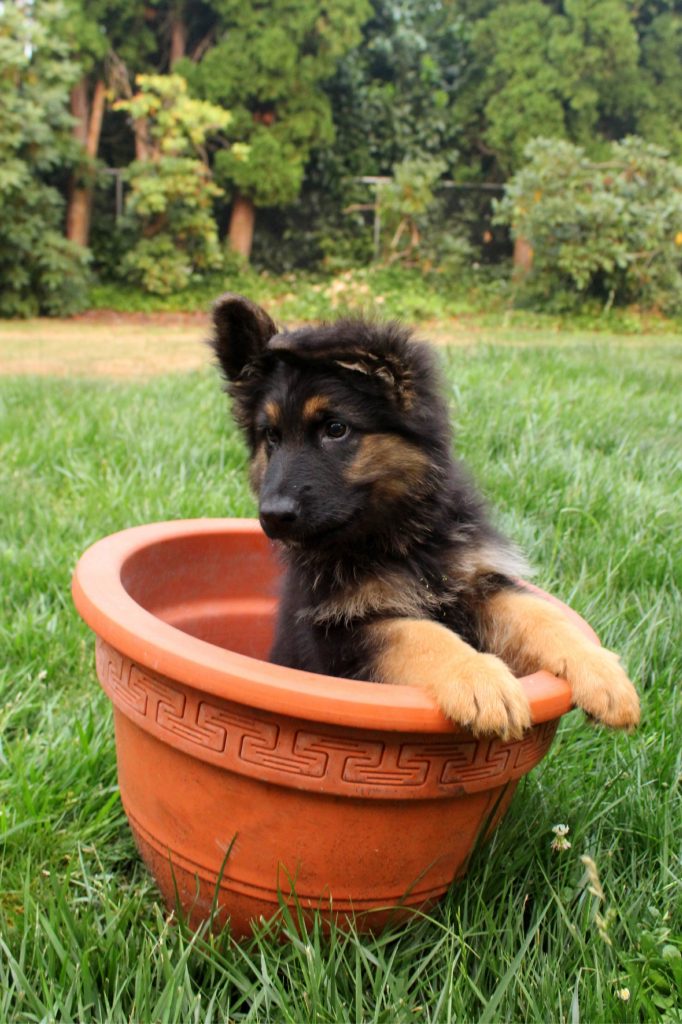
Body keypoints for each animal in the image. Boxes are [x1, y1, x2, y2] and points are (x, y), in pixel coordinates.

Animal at [212, 292, 638, 741]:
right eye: (271, 437)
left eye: (335, 429)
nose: (273, 516)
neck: (402, 540)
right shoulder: (342, 629)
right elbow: (419, 633)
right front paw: (481, 679)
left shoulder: (478, 584)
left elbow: (539, 615)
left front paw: (600, 670)